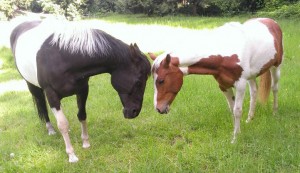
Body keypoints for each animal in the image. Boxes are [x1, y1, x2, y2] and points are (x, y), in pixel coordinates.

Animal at [10, 18, 151, 162]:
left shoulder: (82, 90)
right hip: (32, 86)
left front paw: (86, 143)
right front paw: (72, 155)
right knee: (42, 106)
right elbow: (62, 124)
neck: (63, 57)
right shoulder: (52, 95)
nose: (134, 112)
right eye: (139, 81)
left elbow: (82, 115)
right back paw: (50, 129)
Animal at [150, 17, 284, 143]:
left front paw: (235, 139)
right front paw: (237, 132)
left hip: (276, 67)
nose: (158, 108)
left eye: (161, 80)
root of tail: (271, 22)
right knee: (254, 92)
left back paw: (275, 112)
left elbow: (237, 110)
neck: (224, 53)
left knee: (275, 88)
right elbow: (232, 109)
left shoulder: (240, 85)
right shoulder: (224, 86)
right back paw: (249, 119)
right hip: (252, 75)